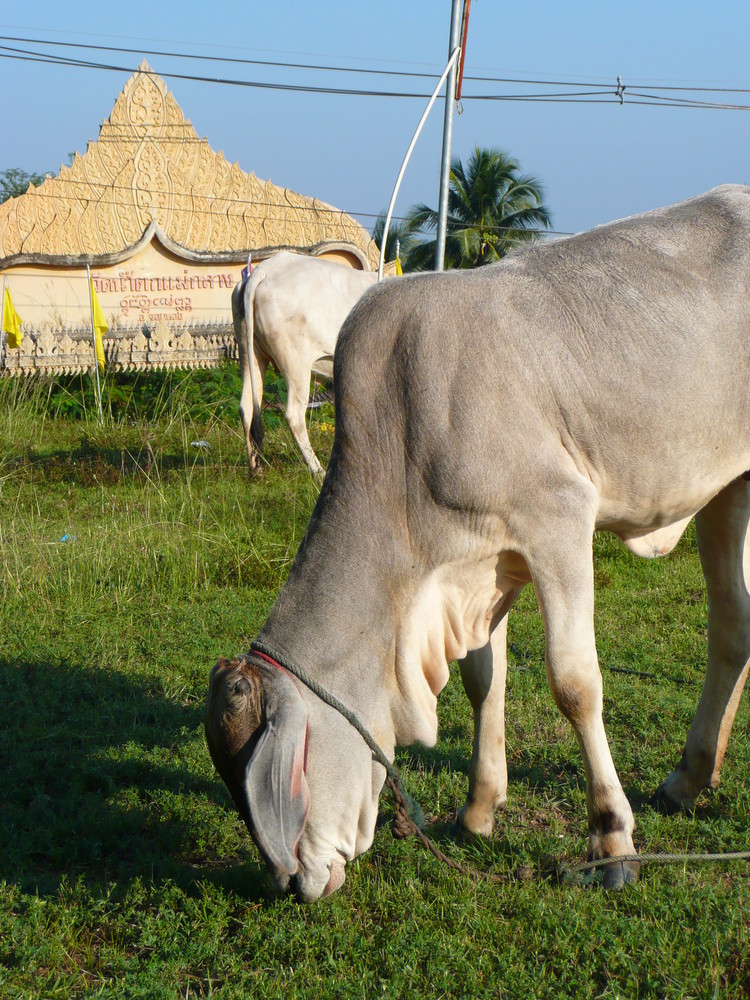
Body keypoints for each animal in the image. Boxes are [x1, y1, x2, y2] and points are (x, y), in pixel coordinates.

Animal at [232, 252, 378, 474]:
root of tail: (266, 268)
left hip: (250, 354)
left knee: (247, 407)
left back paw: (255, 467)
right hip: (296, 363)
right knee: (294, 415)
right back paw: (318, 470)